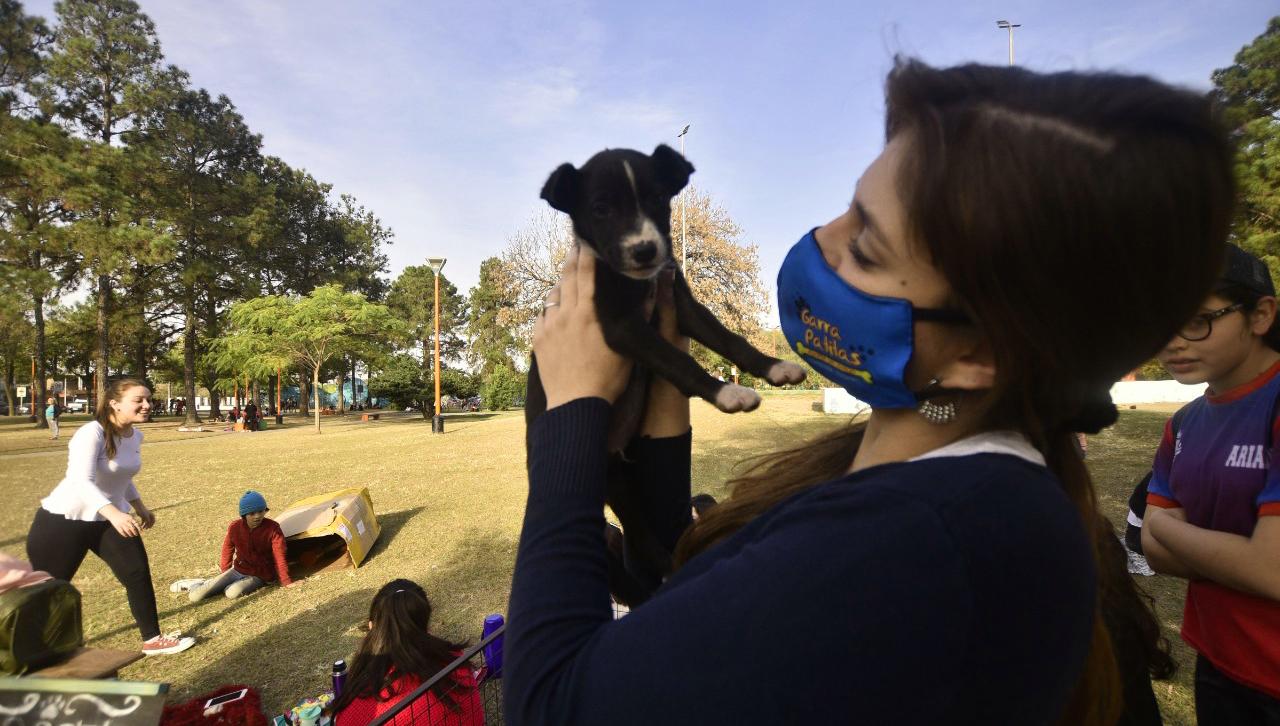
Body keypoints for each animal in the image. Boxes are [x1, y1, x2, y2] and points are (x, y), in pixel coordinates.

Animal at [524, 144, 803, 604]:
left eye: (657, 199)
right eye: (601, 209)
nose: (644, 251)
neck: (640, 282)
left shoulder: (683, 305)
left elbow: (730, 340)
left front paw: (774, 367)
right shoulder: (621, 325)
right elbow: (678, 362)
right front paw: (727, 393)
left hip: (624, 483)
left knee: (640, 533)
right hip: (608, 482)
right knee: (638, 539)